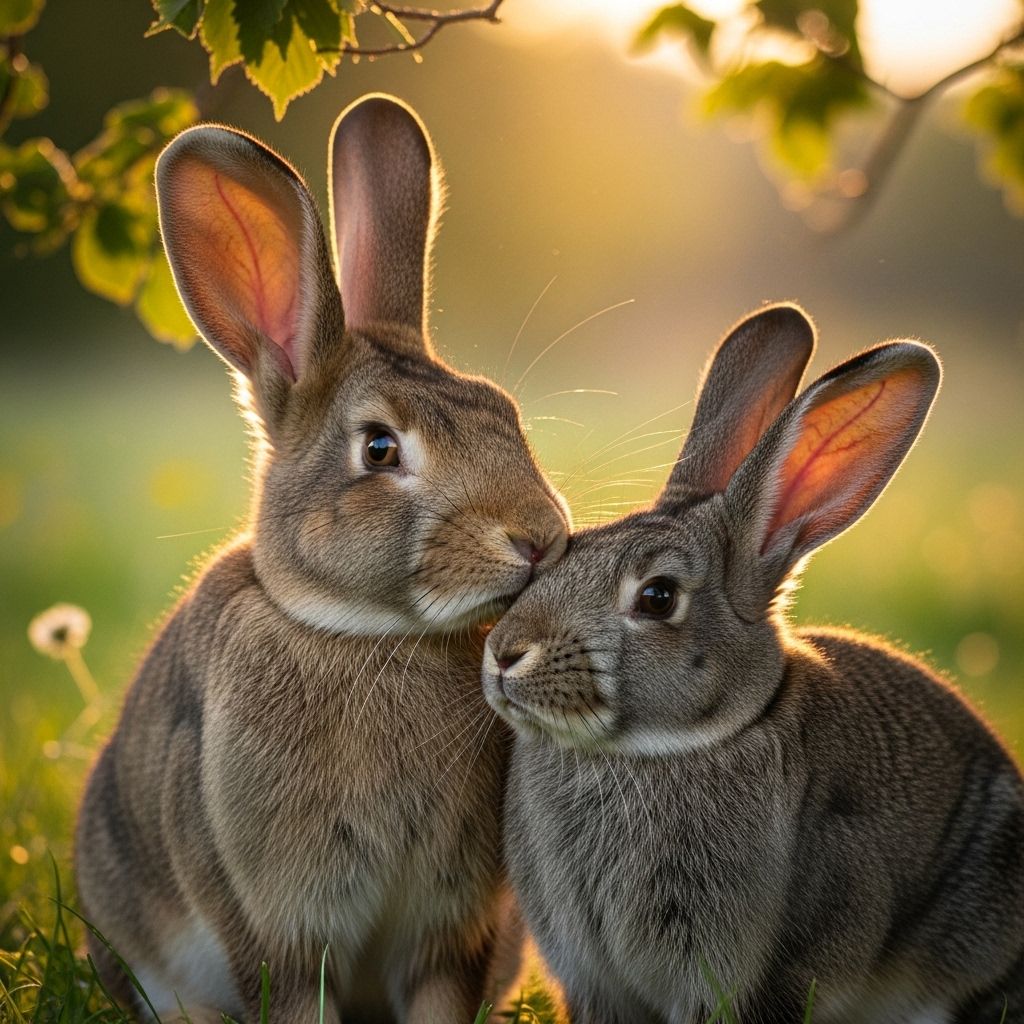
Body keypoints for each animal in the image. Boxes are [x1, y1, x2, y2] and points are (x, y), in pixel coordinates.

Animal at [75, 93, 570, 1024]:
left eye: (504, 412)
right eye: (379, 449)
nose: (539, 537)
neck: (368, 636)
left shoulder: (449, 931)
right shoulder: (285, 934)